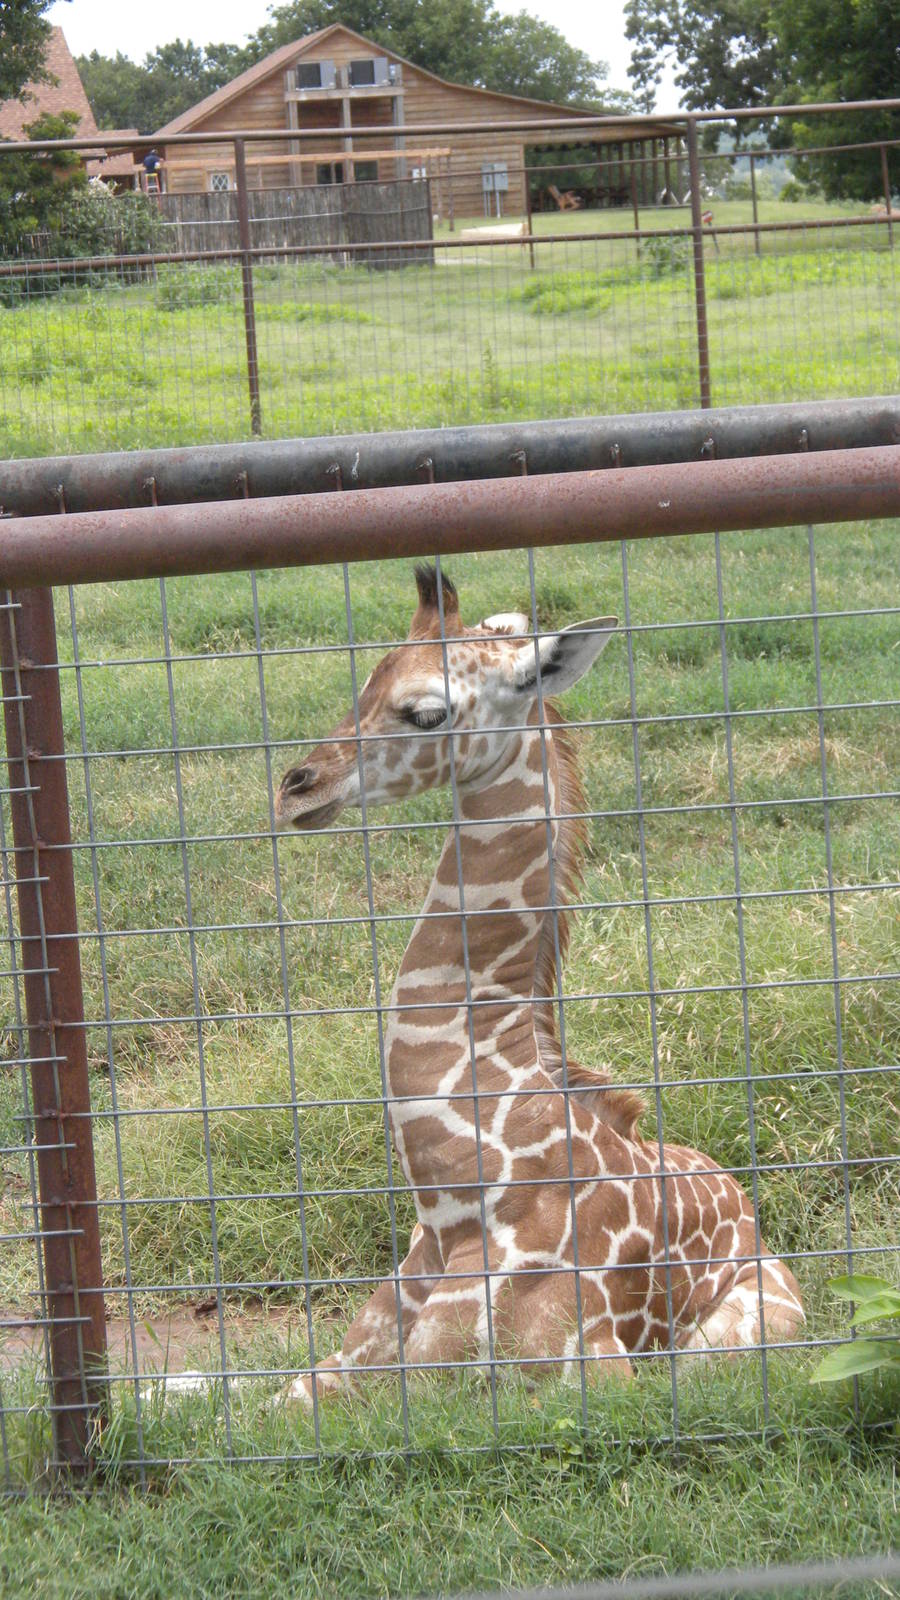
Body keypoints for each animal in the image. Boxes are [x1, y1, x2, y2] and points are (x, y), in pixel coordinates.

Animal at [275, 566, 804, 1401]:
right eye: (363, 685)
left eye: (426, 712)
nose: (297, 789)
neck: (455, 1203)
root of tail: (745, 1198)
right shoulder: (350, 1361)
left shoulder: (579, 1363)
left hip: (745, 1333)